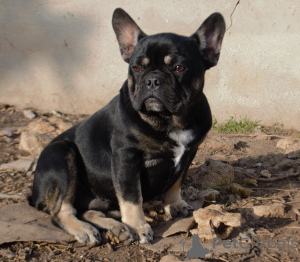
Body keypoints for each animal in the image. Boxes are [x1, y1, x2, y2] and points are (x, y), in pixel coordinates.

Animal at [28, 7, 225, 246]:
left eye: (179, 68)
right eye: (137, 68)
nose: (153, 79)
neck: (169, 119)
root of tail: (34, 193)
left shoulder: (189, 152)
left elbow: (176, 182)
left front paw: (175, 204)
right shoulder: (126, 158)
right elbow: (132, 196)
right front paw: (138, 227)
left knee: (88, 209)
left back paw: (116, 227)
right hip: (61, 155)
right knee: (61, 212)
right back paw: (86, 229)